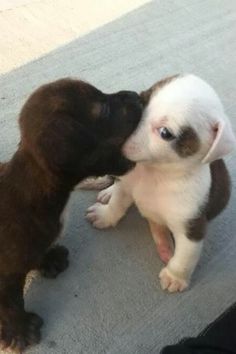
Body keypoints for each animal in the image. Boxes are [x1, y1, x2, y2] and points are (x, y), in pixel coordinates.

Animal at [0, 79, 142, 352]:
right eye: (103, 110)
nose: (136, 94)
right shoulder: (5, 272)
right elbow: (10, 302)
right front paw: (18, 330)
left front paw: (49, 259)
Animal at [86, 74, 236, 294]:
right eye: (142, 100)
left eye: (165, 133)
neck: (156, 173)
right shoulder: (127, 186)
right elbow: (117, 204)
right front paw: (106, 215)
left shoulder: (191, 227)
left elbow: (186, 256)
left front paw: (175, 276)